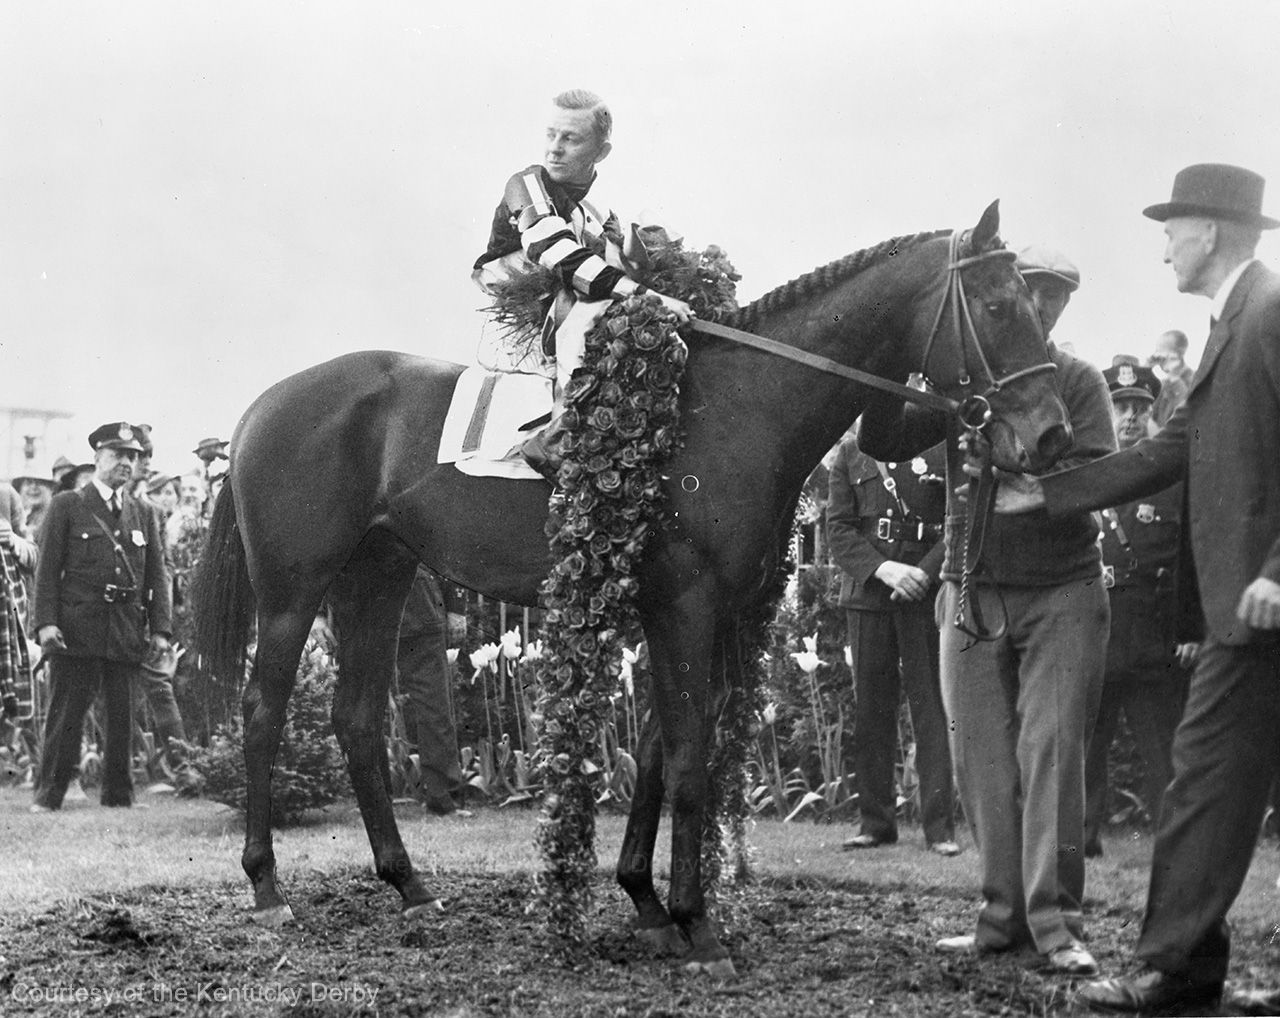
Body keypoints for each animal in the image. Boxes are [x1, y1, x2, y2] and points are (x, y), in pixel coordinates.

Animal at [192, 198, 1070, 978]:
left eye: (1037, 307)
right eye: (998, 306)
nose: (1052, 434)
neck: (733, 410)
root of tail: (263, 405)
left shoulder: (698, 614)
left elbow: (654, 750)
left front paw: (646, 901)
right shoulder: (688, 606)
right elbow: (687, 759)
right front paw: (696, 923)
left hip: (378, 577)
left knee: (357, 719)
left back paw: (407, 883)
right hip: (293, 593)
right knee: (264, 712)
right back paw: (267, 887)